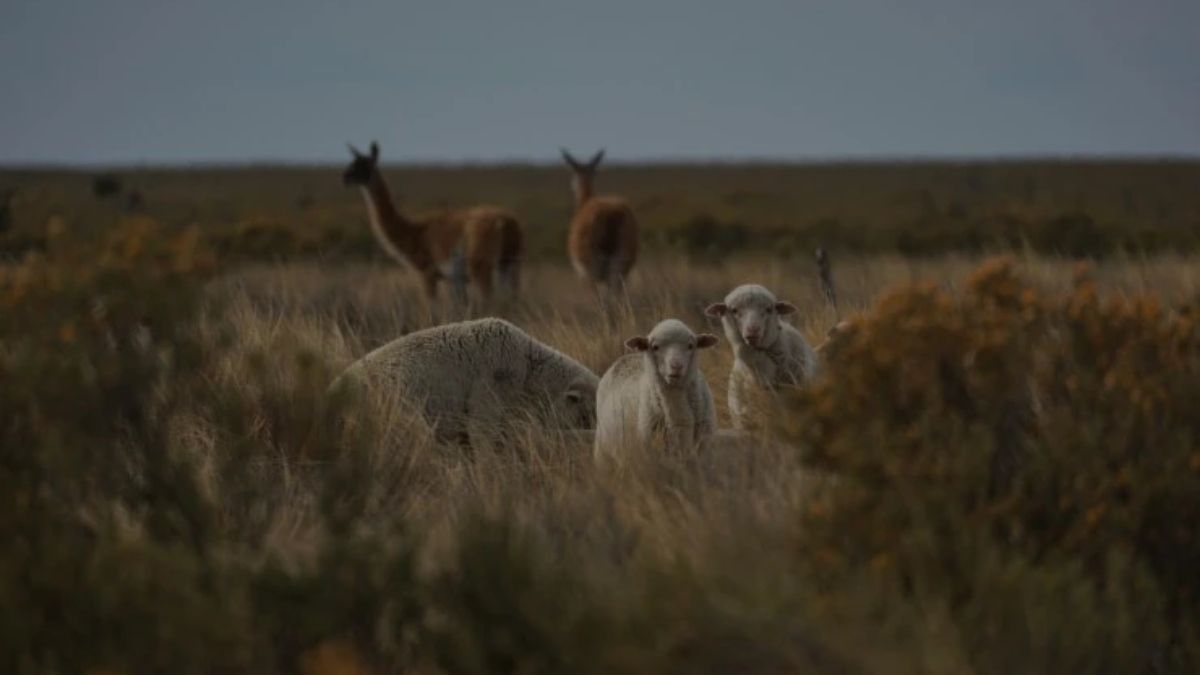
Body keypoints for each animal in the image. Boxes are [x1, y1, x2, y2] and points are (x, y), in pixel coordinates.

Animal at [594, 319, 719, 462]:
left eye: (690, 346)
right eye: (655, 347)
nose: (676, 366)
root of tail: (625, 357)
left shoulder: (704, 450)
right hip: (603, 451)